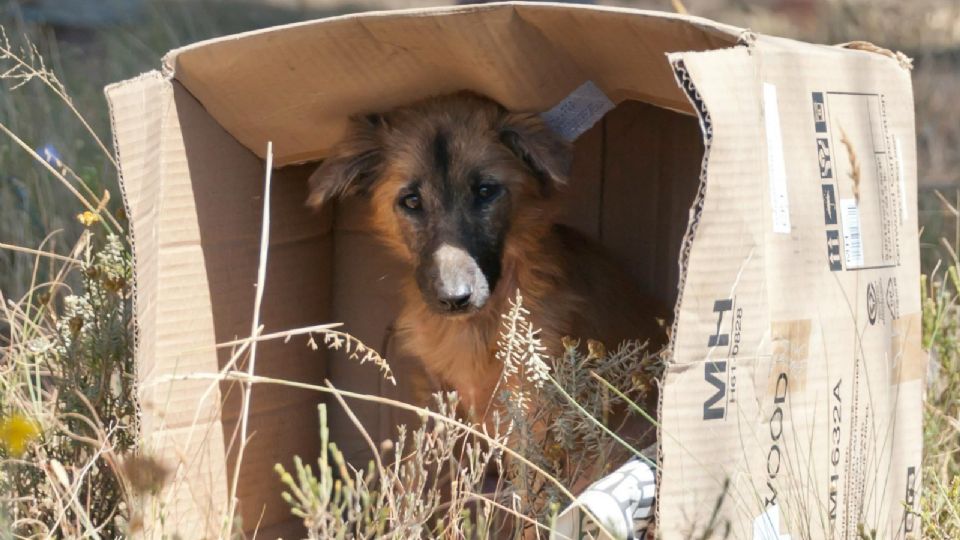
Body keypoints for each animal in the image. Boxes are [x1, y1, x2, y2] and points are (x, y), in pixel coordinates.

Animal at [312, 93, 664, 428]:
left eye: (485, 191)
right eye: (411, 201)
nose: (454, 300)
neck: (475, 327)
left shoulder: (531, 404)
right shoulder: (440, 391)